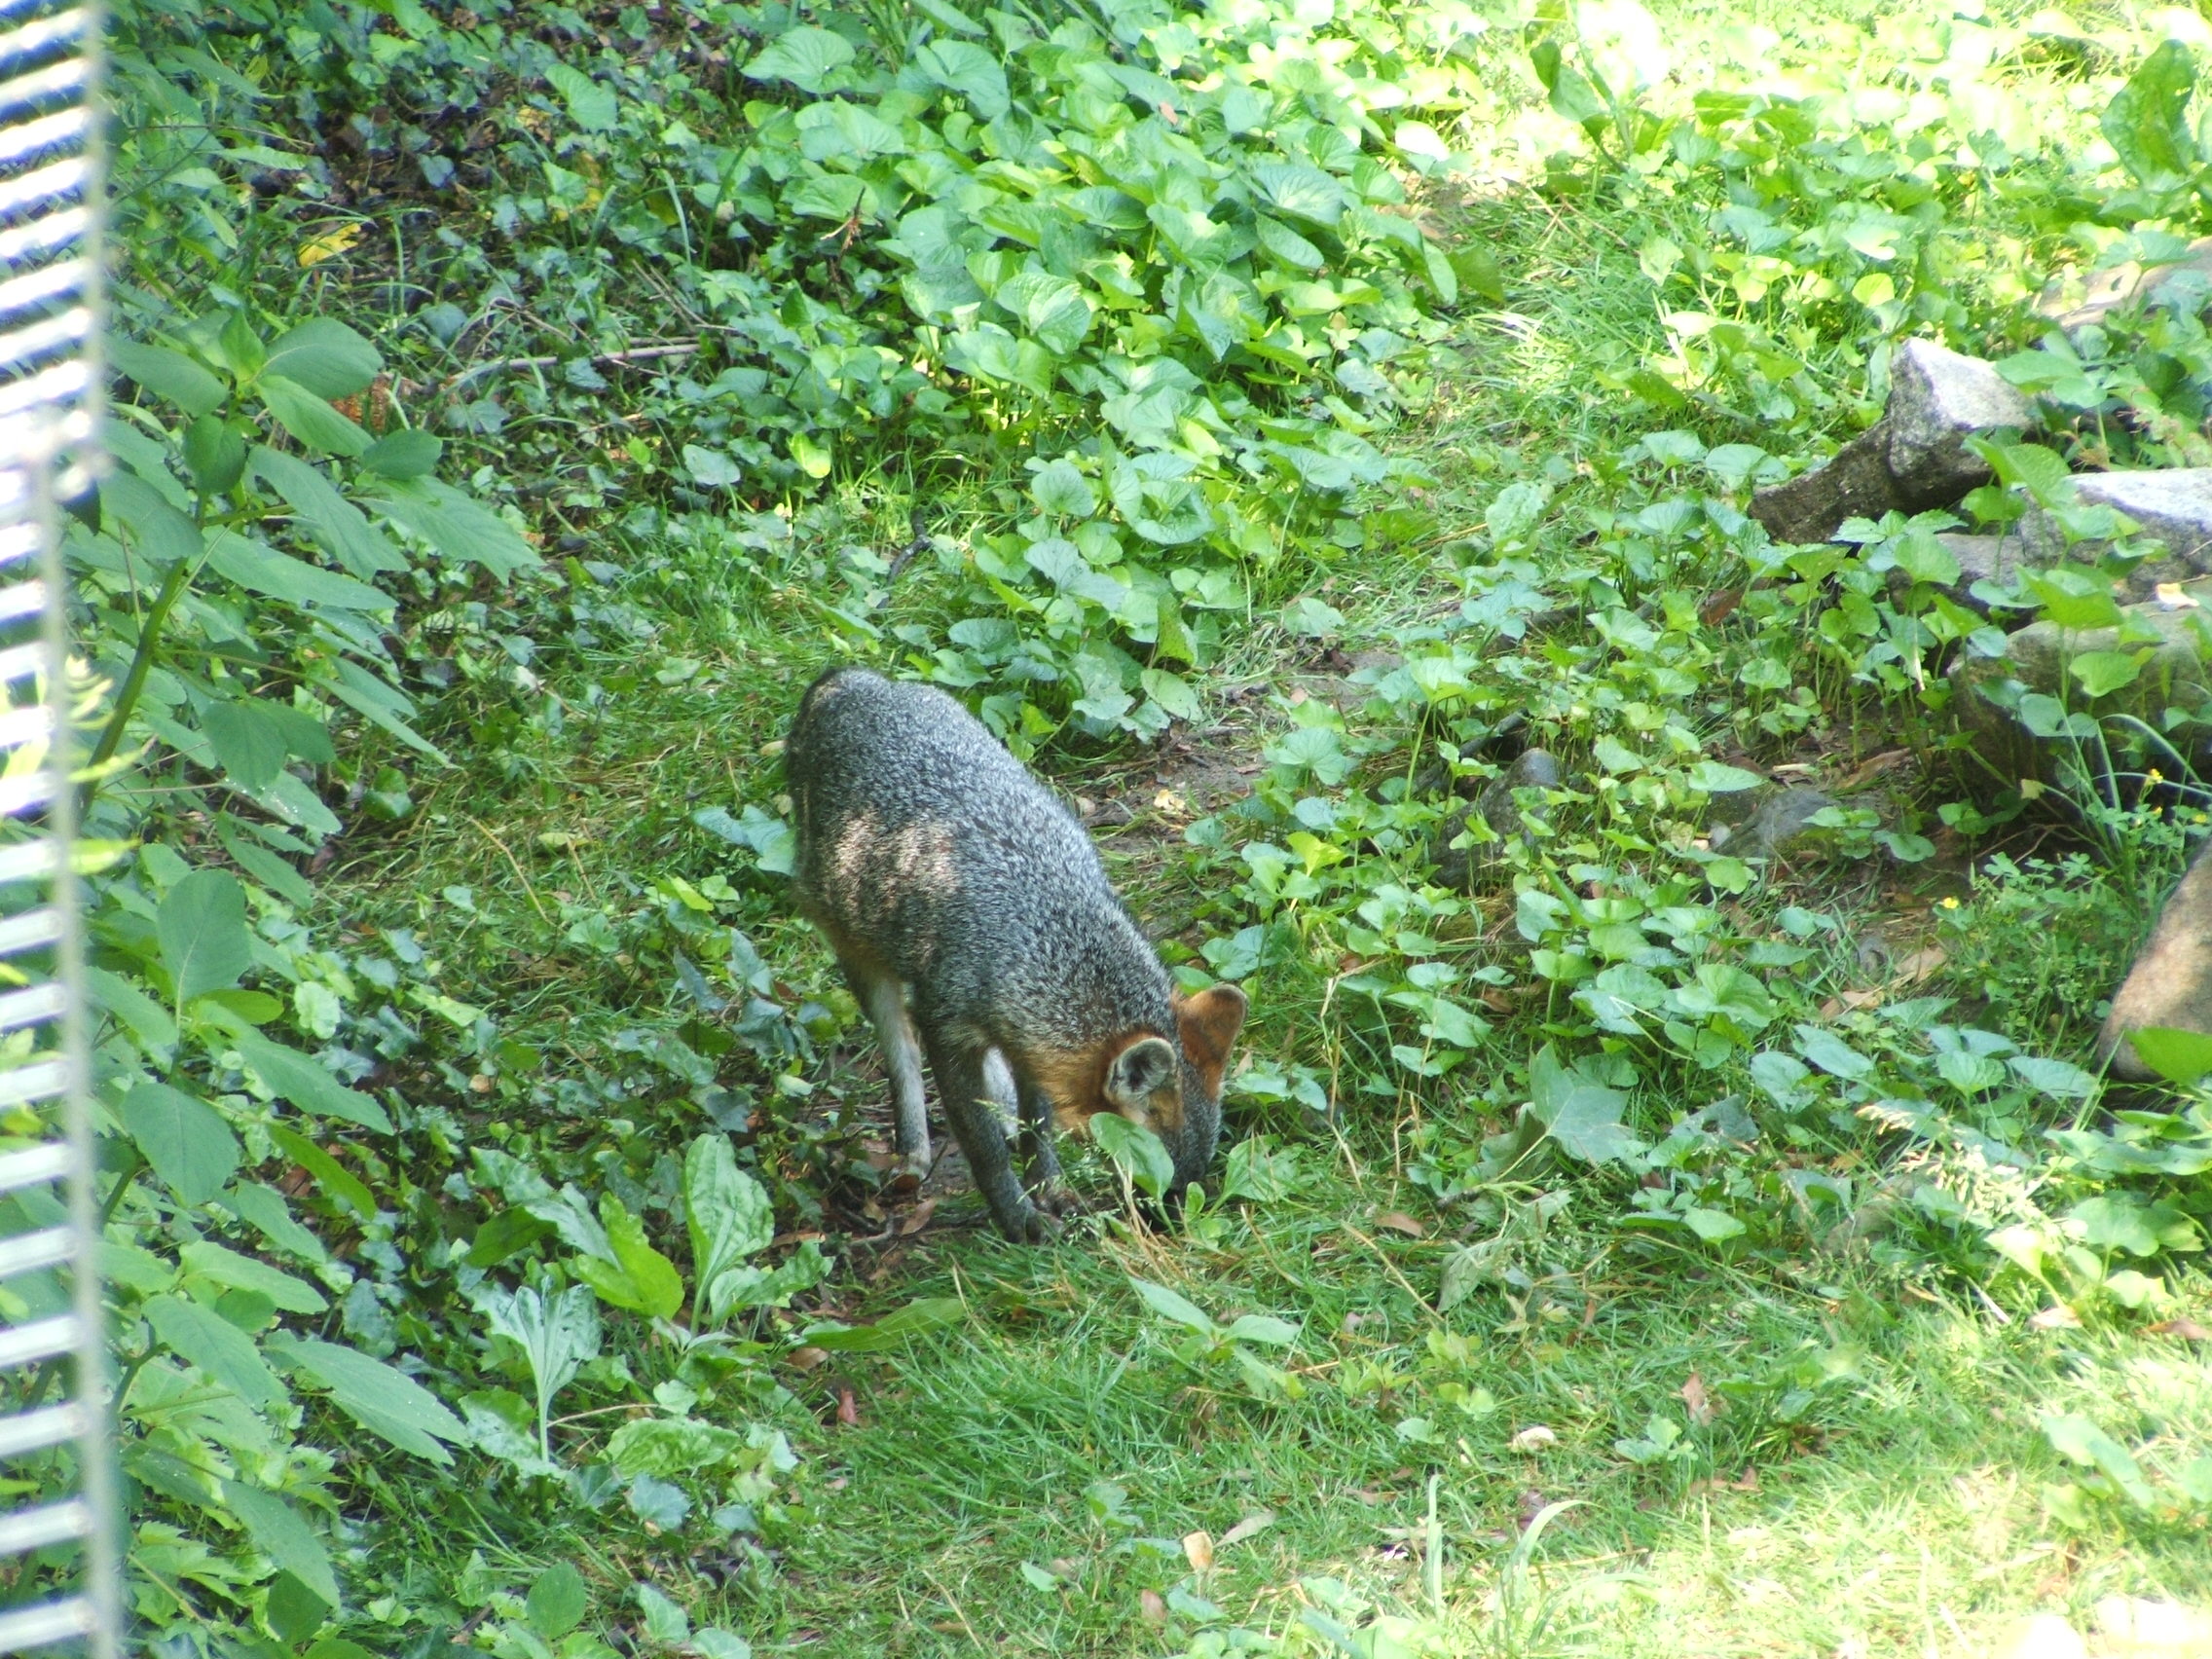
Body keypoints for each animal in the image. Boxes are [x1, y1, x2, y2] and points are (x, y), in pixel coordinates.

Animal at [783, 666, 1248, 1242]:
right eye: (1147, 1168)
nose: (1168, 1221)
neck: (1043, 921)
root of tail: (847, 680)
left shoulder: (1029, 1041)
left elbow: (1037, 1122)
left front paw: (1049, 1185)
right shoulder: (947, 1028)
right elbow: (981, 1145)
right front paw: (1018, 1217)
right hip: (859, 953)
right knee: (900, 1055)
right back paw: (914, 1150)